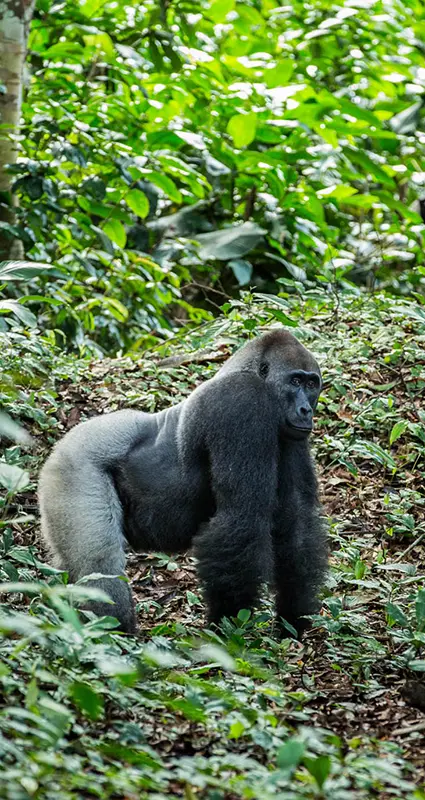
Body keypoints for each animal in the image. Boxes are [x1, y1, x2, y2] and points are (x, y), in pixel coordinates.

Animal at [38, 329, 327, 636]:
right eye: (295, 381)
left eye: (312, 383)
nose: (306, 410)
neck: (247, 370)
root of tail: (61, 444)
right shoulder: (241, 403)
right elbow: (242, 517)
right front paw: (228, 625)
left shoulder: (290, 435)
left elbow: (296, 520)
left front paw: (293, 617)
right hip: (73, 466)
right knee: (99, 563)